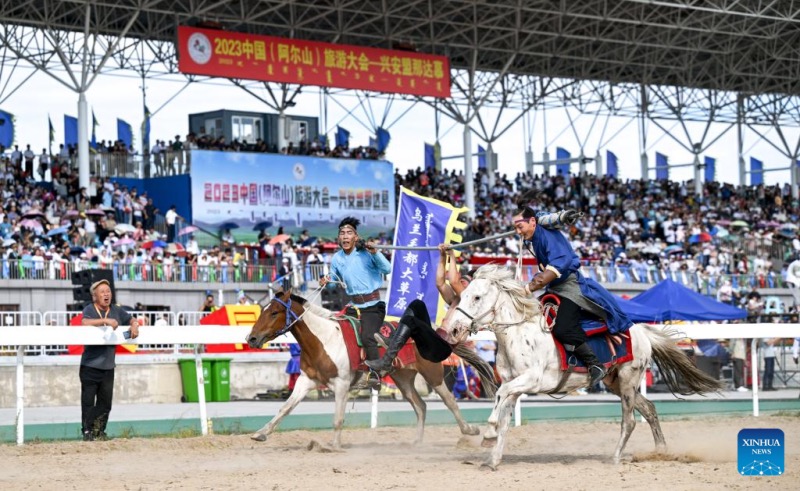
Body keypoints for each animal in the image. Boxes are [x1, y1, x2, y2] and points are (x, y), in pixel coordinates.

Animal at [245, 292, 494, 450]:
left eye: (275, 312)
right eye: (263, 310)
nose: (252, 338)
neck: (324, 338)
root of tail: (431, 331)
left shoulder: (341, 384)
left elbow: (337, 418)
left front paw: (334, 446)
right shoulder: (306, 381)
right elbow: (285, 408)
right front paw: (261, 433)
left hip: (433, 375)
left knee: (450, 401)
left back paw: (469, 430)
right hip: (402, 379)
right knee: (420, 406)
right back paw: (416, 441)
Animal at [440, 268, 720, 470]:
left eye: (476, 297)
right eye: (461, 296)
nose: (453, 330)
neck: (520, 333)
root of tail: (640, 331)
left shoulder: (531, 381)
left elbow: (499, 398)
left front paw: (488, 433)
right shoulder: (515, 387)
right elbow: (505, 418)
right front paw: (492, 459)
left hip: (629, 381)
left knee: (629, 421)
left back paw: (615, 458)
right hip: (616, 383)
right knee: (649, 409)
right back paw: (660, 451)